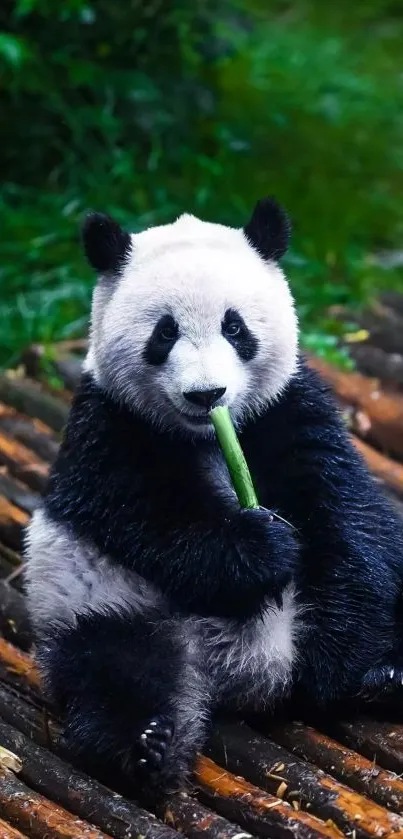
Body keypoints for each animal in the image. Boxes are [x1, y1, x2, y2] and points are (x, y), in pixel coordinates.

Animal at [24, 199, 403, 800]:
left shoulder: (288, 407)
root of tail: (249, 674)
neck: (208, 436)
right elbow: (145, 518)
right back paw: (147, 746)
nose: (208, 394)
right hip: (106, 605)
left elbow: (343, 514)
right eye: (164, 333)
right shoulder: (107, 426)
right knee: (116, 670)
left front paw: (342, 663)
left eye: (235, 326)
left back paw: (386, 679)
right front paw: (264, 547)